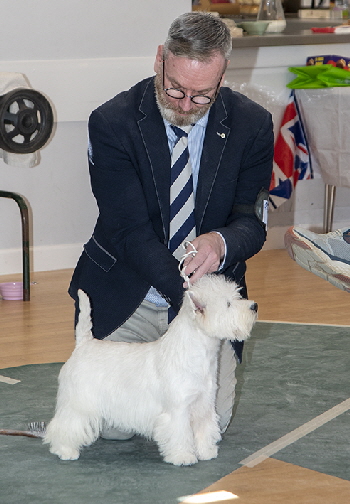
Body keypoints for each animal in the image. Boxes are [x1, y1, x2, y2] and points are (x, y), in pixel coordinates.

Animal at [44, 274, 258, 466]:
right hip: (79, 401)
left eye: (237, 296)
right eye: (228, 304)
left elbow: (204, 429)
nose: (254, 306)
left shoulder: (204, 403)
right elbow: (180, 433)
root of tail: (84, 344)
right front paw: (183, 457)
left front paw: (206, 451)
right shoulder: (178, 409)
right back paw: (64, 450)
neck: (198, 353)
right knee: (65, 423)